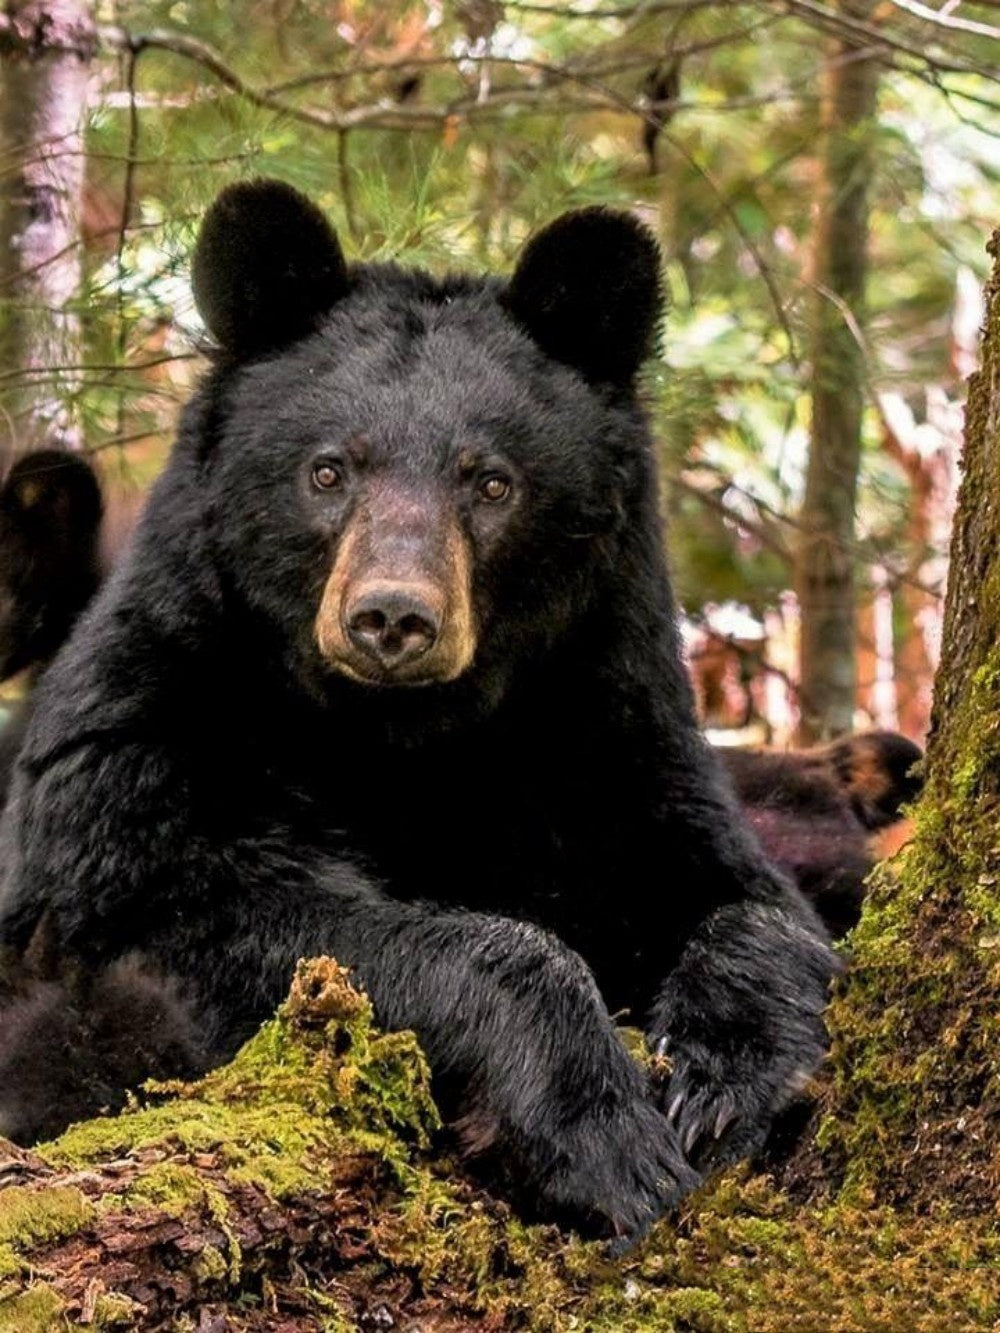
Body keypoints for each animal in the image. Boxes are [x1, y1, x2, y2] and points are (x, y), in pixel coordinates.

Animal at [0, 179, 835, 1243]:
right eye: (328, 469)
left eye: (493, 480)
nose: (392, 616)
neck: (403, 738)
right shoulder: (152, 730)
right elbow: (239, 919)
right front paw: (608, 1138)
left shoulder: (603, 731)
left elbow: (744, 894)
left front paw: (721, 1081)